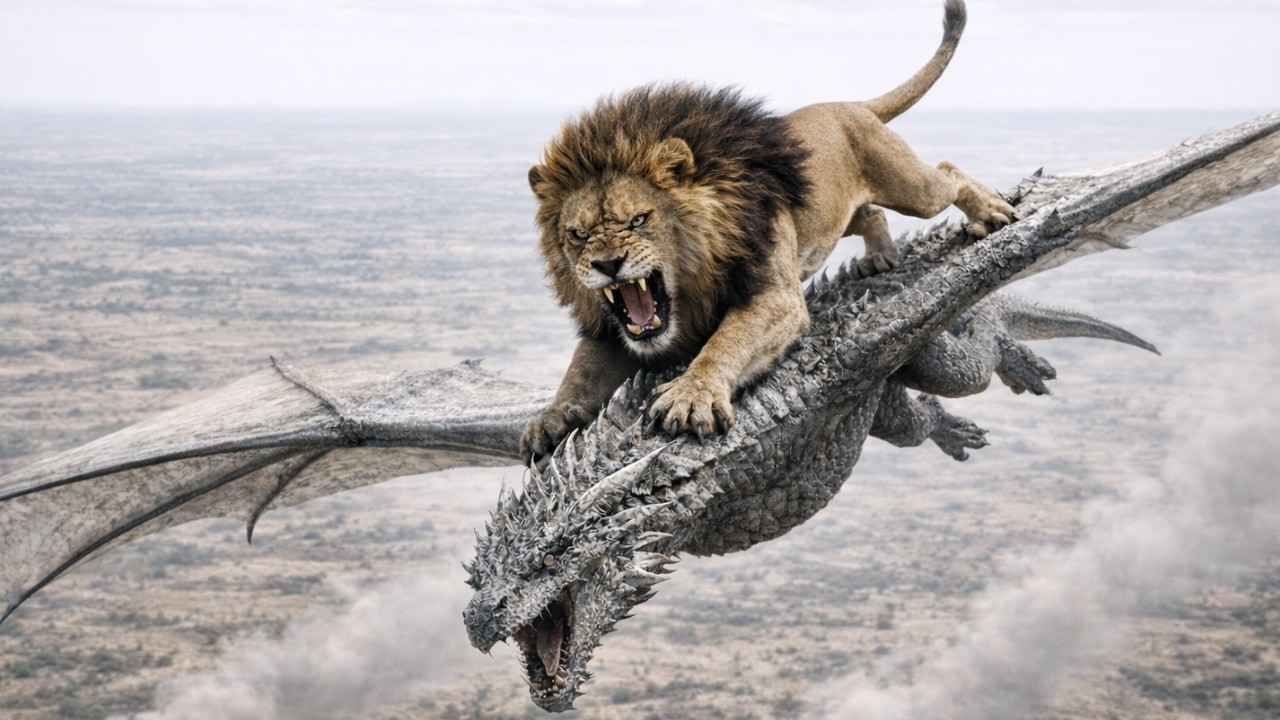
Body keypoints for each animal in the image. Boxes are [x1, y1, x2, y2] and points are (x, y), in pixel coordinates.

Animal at [520, 0, 1013, 461]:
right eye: (578, 235)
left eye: (639, 219)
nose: (608, 264)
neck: (692, 282)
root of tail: (850, 105)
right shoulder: (611, 329)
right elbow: (581, 370)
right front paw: (552, 418)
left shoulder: (775, 296)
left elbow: (727, 342)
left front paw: (691, 396)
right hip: (832, 215)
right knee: (871, 213)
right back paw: (879, 257)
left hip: (910, 188)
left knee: (946, 174)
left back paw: (989, 212)